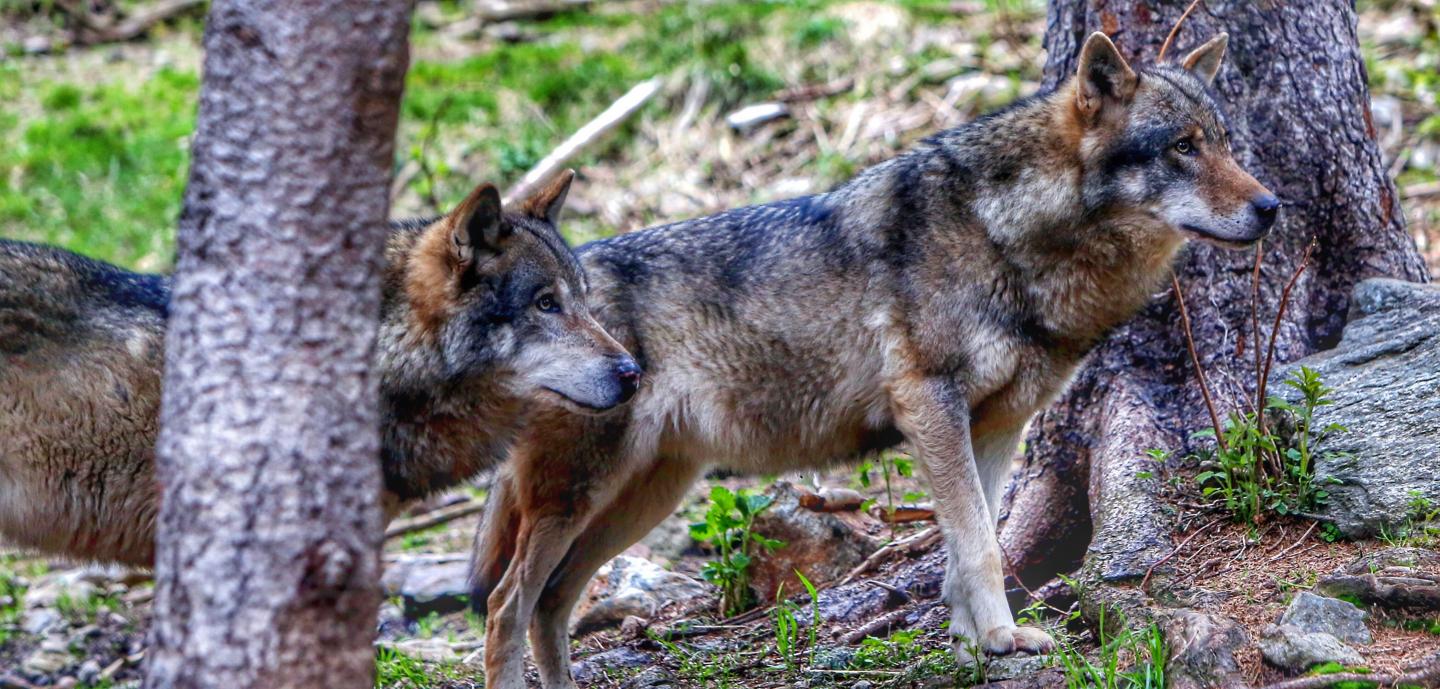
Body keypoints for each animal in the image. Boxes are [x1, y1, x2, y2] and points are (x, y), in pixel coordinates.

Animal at [475, 30, 1284, 683]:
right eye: (1182, 147)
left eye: (1224, 141)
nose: (1272, 206)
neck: (1008, 235)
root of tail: (556, 289)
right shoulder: (930, 402)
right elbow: (982, 544)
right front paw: (998, 638)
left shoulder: (997, 425)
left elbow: (973, 540)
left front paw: (975, 641)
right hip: (584, 497)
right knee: (505, 605)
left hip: (643, 498)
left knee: (550, 605)